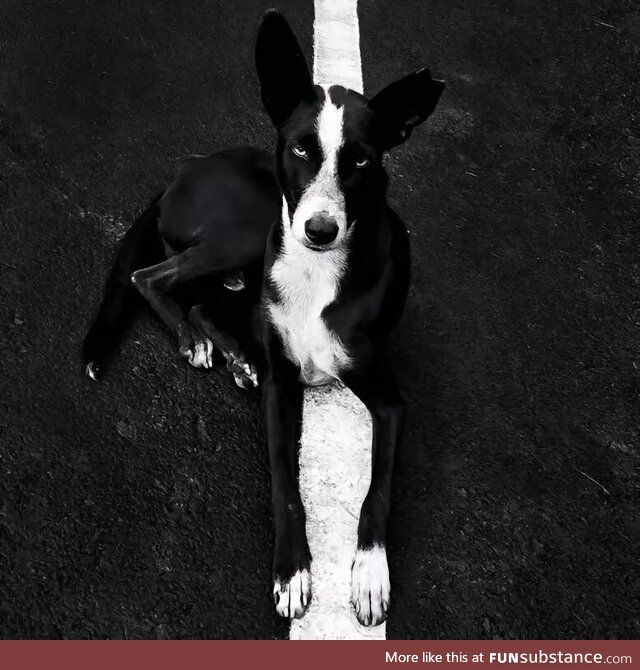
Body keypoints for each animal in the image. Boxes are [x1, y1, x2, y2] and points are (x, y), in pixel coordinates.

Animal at [84, 11, 444, 632]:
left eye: (361, 160)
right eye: (300, 149)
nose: (319, 230)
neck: (319, 272)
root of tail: (185, 170)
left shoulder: (391, 402)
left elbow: (377, 492)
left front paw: (370, 574)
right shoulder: (282, 388)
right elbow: (284, 481)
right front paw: (292, 571)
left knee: (200, 299)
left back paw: (230, 352)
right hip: (253, 228)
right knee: (149, 276)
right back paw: (198, 342)